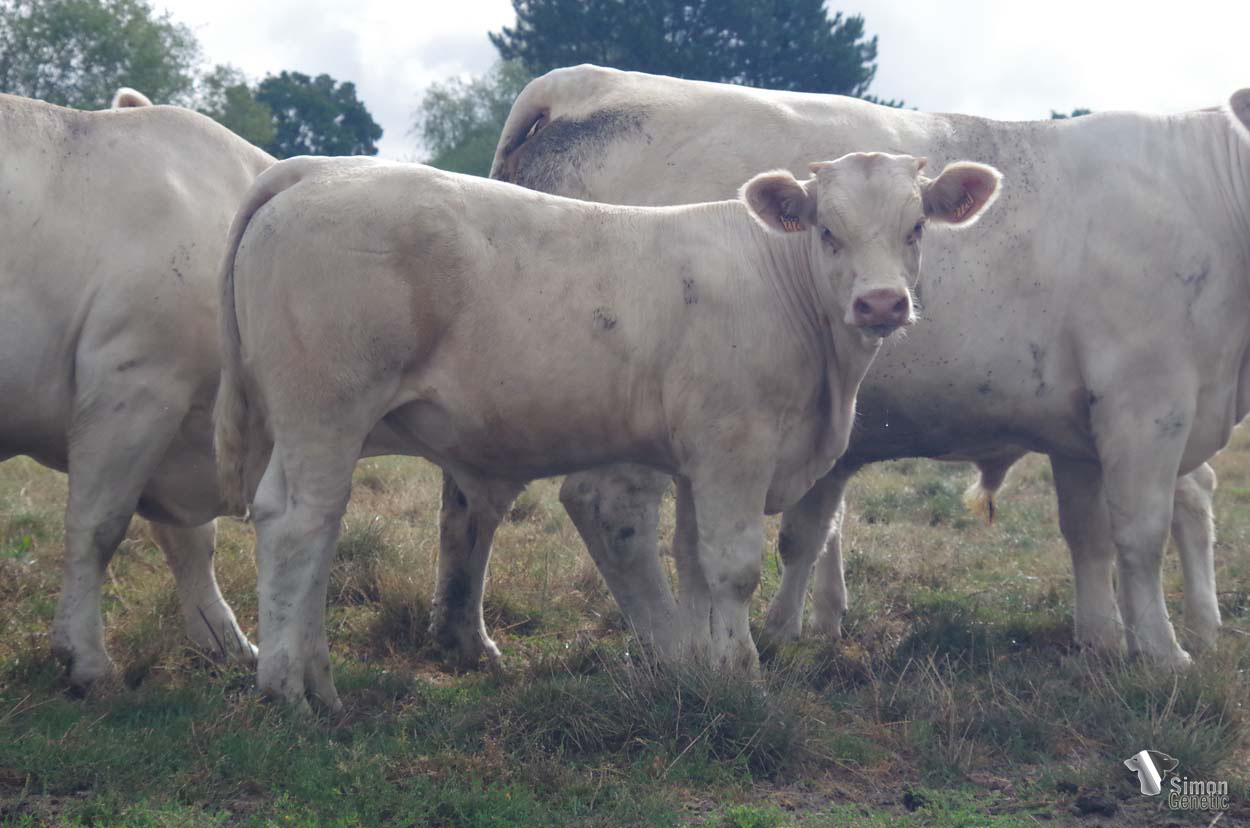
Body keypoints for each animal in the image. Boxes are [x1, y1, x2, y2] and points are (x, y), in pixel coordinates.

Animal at [0, 91, 273, 687]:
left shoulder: (177, 423)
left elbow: (193, 542)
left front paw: (225, 640)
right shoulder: (135, 385)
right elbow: (98, 526)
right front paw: (85, 657)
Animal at [213, 152, 1002, 710]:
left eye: (916, 228)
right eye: (829, 232)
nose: (881, 303)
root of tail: (317, 168)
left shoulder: (694, 462)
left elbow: (692, 563)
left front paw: (705, 672)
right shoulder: (735, 448)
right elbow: (734, 567)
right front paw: (743, 673)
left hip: (311, 423)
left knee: (296, 519)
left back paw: (309, 672)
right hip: (326, 408)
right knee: (302, 525)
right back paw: (291, 687)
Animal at [487, 66, 1250, 669]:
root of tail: (583, 81)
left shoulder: (1080, 422)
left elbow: (1089, 536)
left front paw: (1101, 640)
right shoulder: (1146, 402)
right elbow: (1141, 532)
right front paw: (1164, 654)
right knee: (611, 507)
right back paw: (675, 646)